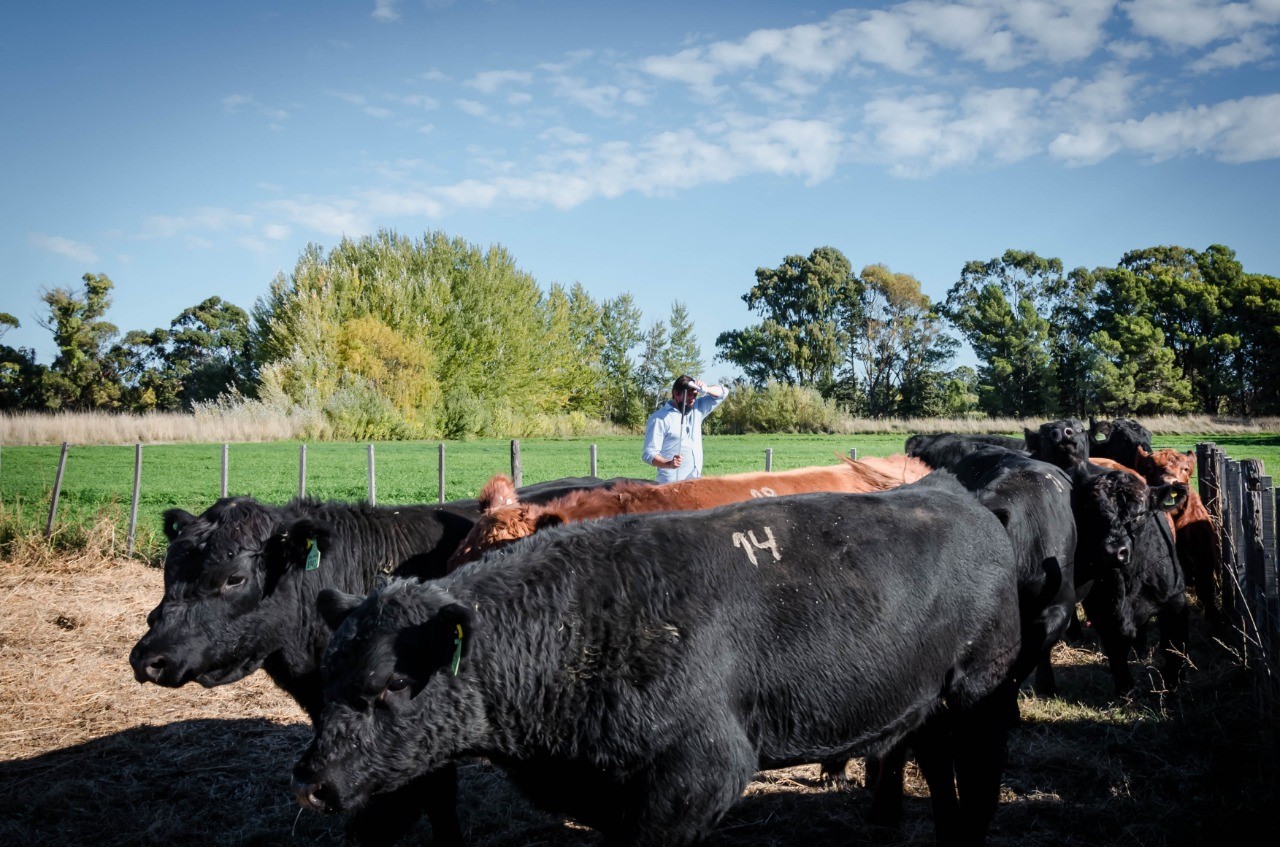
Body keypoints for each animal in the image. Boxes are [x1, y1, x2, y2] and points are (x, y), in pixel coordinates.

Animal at [294, 481, 1024, 844]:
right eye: (325, 680)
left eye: (392, 683)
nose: (311, 781)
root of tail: (972, 503)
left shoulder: (701, 772)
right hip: (929, 702)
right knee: (937, 761)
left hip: (980, 690)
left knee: (980, 774)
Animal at [1070, 470, 1187, 696]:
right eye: (1092, 514)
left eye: (1140, 514)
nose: (1114, 551)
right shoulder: (1100, 612)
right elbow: (1116, 654)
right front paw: (1125, 692)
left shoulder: (1175, 603)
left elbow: (1173, 648)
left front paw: (1173, 685)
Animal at [1136, 447, 1223, 626]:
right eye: (1149, 468)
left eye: (1185, 469)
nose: (1169, 482)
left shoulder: (1205, 557)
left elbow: (1205, 590)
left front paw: (1215, 619)